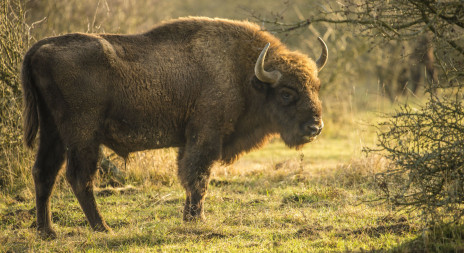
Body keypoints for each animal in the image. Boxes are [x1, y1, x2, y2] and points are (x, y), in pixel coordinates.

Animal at [21, 16, 326, 238]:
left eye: (316, 86)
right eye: (286, 93)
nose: (315, 127)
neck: (244, 74)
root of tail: (39, 48)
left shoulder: (188, 141)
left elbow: (189, 177)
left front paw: (190, 218)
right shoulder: (206, 136)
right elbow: (198, 178)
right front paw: (197, 220)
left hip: (53, 131)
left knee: (44, 173)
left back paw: (47, 232)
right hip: (83, 135)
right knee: (78, 177)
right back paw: (102, 228)